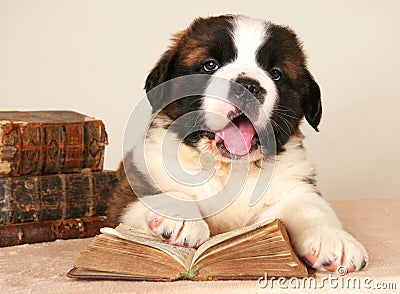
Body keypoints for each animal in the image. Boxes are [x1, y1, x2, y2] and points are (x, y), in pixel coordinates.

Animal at [107, 13, 368, 272]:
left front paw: (334, 238)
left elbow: (311, 206)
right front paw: (181, 216)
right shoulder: (126, 194)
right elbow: (153, 199)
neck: (229, 169)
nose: (248, 86)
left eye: (276, 73)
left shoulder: (294, 184)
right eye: (210, 65)